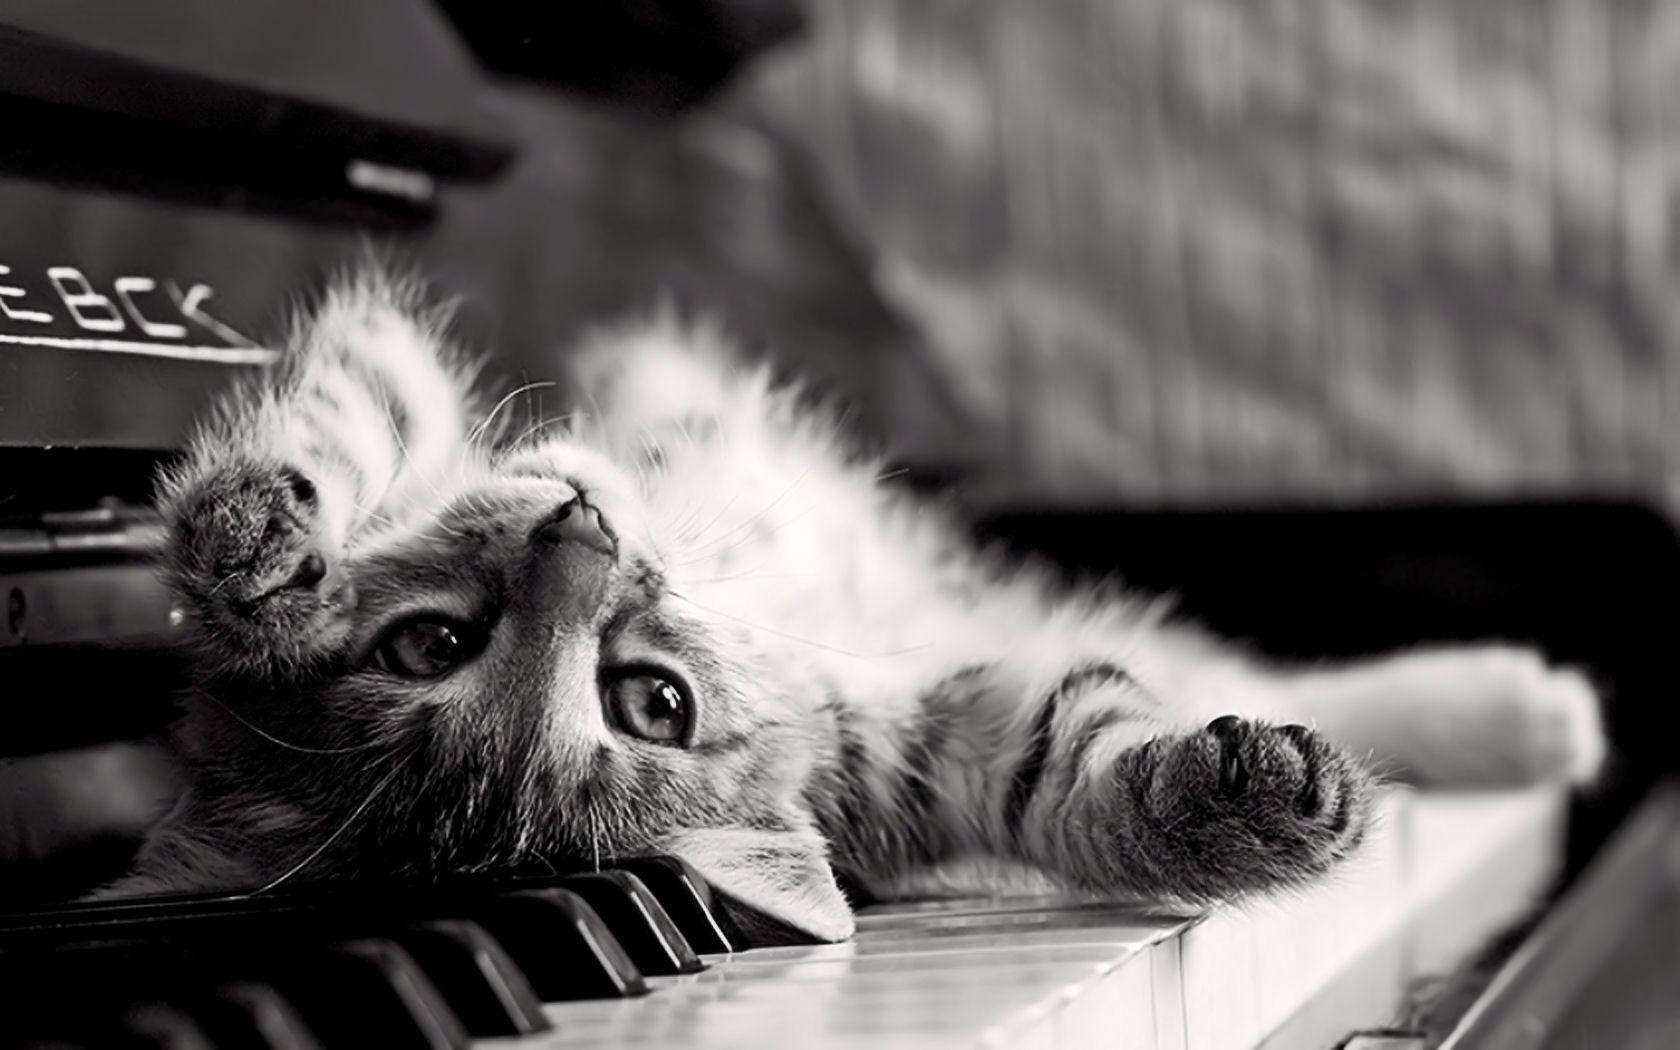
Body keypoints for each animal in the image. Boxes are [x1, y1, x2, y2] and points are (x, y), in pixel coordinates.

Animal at [111, 273, 1606, 940]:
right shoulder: (936, 747)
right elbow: (1065, 781)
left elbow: (349, 404)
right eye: (440, 646)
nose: (582, 537)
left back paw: (1512, 711)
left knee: (1254, 668)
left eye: (648, 700)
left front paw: (262, 549)